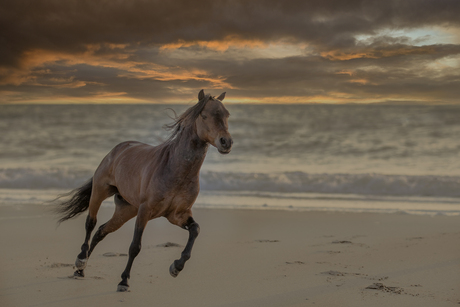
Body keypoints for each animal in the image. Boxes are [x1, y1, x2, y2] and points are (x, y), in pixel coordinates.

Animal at [55, 90, 232, 292]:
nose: (226, 142)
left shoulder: (177, 215)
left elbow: (195, 229)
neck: (175, 169)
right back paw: (80, 260)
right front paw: (124, 281)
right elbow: (135, 246)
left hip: (125, 210)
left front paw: (176, 267)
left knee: (101, 231)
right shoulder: (145, 211)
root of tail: (116, 150)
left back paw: (80, 271)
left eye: (227, 115)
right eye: (204, 115)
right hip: (100, 192)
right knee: (91, 223)